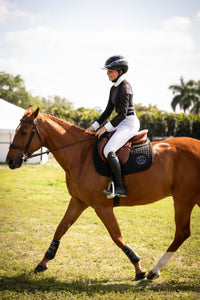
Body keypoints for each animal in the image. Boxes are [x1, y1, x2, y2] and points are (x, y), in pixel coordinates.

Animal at [6, 106, 200, 280]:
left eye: (23, 132)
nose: (9, 161)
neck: (81, 156)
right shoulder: (78, 201)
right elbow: (60, 229)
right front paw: (43, 262)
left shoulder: (102, 207)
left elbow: (117, 237)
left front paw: (139, 268)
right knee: (182, 233)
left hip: (183, 199)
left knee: (182, 233)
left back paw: (154, 270)